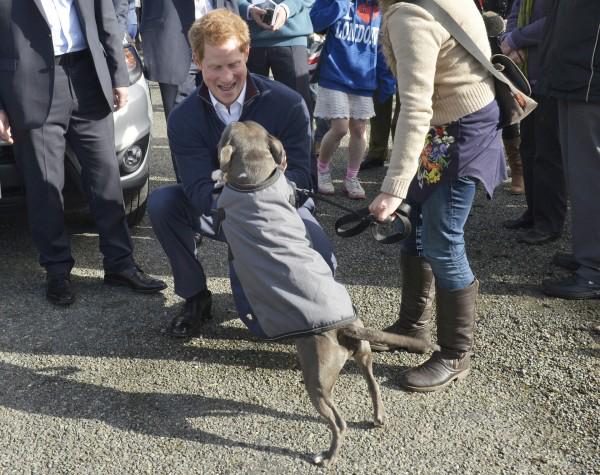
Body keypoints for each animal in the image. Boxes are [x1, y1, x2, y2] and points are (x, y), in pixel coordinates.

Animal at [213, 121, 434, 470]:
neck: (257, 180)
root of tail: (347, 328)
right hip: (364, 358)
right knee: (374, 387)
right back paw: (377, 418)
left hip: (317, 381)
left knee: (338, 423)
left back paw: (325, 456)